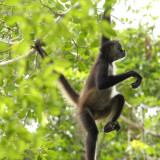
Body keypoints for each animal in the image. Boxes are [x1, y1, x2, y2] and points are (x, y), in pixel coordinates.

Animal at [34, 2, 142, 160]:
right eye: (119, 47)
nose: (124, 51)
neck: (106, 59)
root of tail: (80, 101)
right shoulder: (102, 64)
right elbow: (102, 84)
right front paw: (133, 73)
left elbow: (105, 27)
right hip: (84, 112)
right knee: (92, 131)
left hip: (101, 112)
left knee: (119, 98)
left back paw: (108, 127)